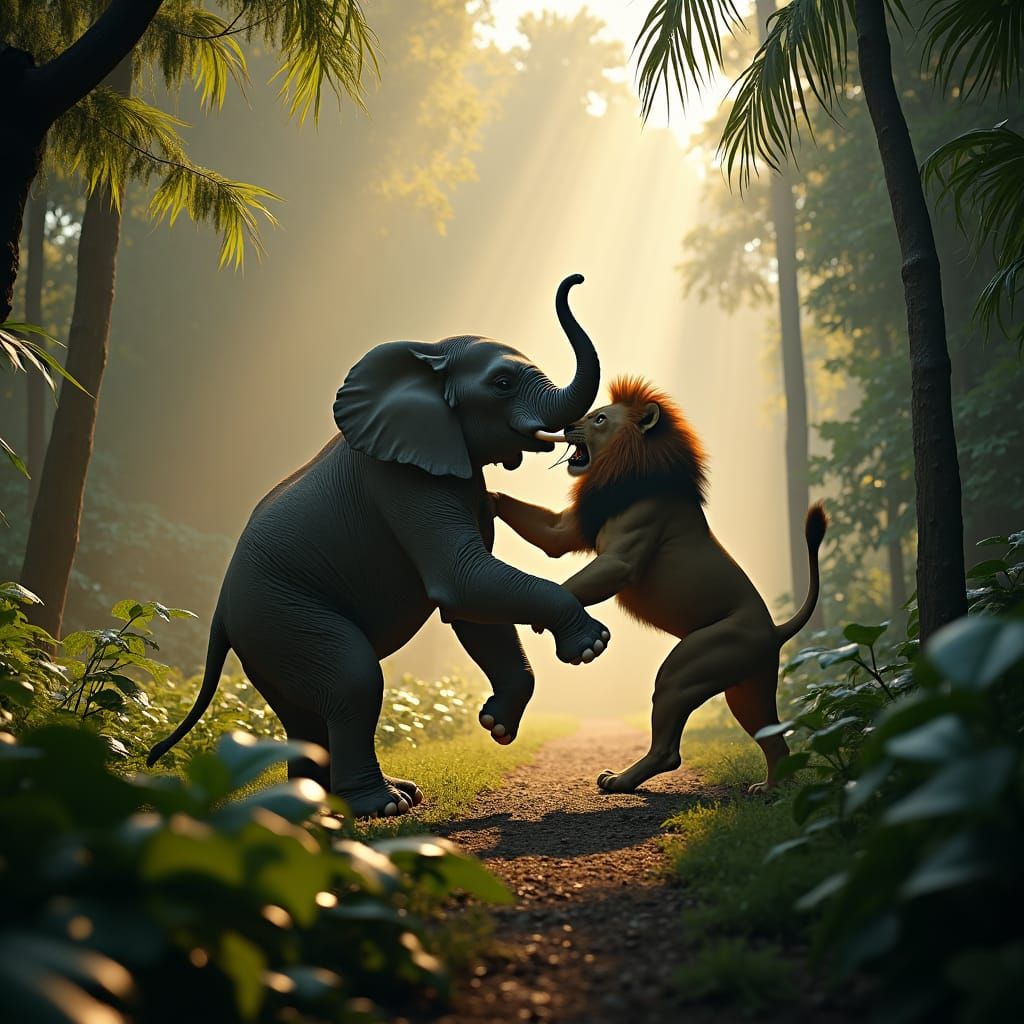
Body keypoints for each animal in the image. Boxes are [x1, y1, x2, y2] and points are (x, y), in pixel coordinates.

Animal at [147, 275, 610, 817]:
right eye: (502, 383)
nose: (575, 279)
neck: (429, 356)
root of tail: (219, 614)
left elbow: (471, 605)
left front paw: (495, 725)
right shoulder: (401, 479)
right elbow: (462, 580)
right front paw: (591, 645)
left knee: (305, 711)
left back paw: (328, 804)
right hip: (278, 614)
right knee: (353, 678)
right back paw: (382, 805)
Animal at [492, 376, 826, 793]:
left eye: (599, 418)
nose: (567, 426)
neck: (625, 469)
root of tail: (775, 629)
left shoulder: (625, 552)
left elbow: (580, 580)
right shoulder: (566, 529)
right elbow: (548, 531)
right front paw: (486, 495)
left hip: (689, 668)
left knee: (669, 750)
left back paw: (619, 780)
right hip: (749, 687)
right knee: (775, 739)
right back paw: (771, 790)